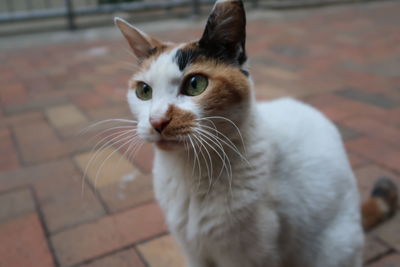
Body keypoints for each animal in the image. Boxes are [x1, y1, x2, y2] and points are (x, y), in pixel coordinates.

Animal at [115, 1, 396, 266]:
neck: (189, 172)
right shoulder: (193, 251)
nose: (157, 121)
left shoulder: (246, 255)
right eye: (143, 91)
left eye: (195, 84)